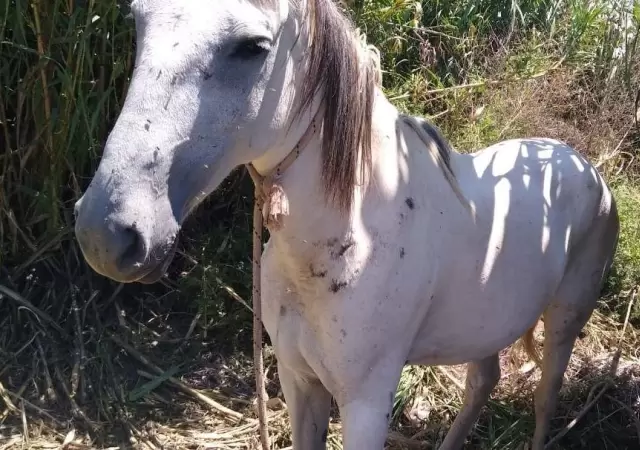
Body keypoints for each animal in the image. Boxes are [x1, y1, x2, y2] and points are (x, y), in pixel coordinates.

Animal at [73, 0, 620, 448]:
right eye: (138, 22)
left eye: (252, 48)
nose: (106, 235)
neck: (353, 237)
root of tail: (585, 167)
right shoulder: (298, 382)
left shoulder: (365, 406)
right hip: (482, 328)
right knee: (482, 382)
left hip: (565, 322)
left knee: (545, 399)